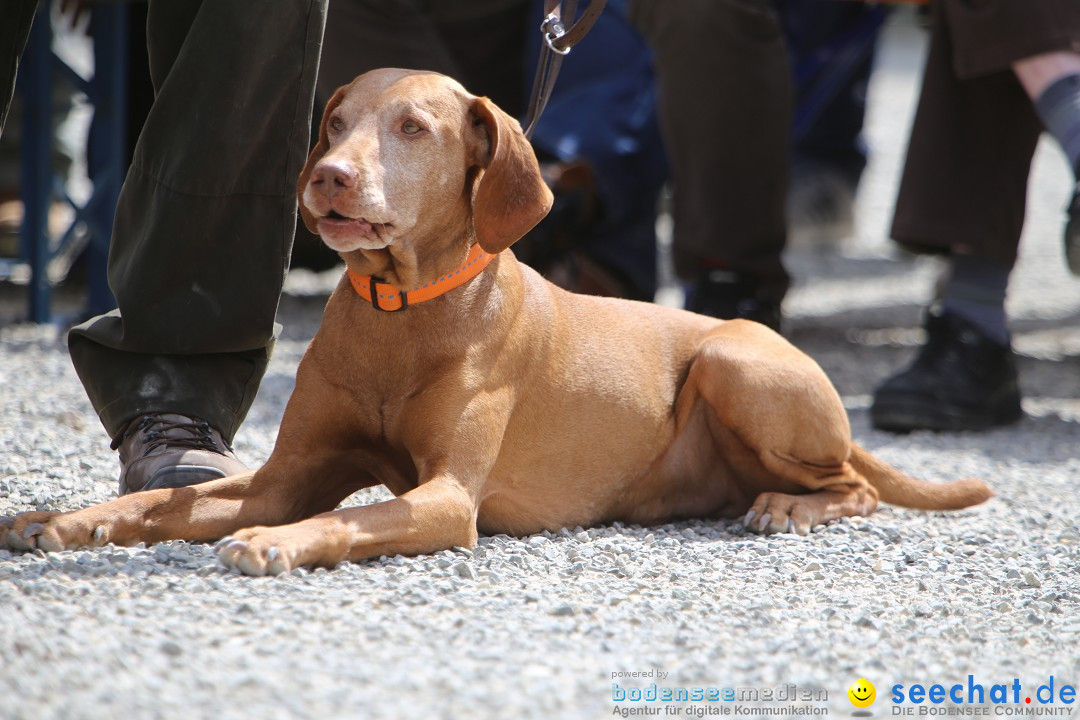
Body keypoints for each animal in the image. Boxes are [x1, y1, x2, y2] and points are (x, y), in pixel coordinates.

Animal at [0, 69, 989, 574]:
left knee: (853, 485)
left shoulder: (445, 499)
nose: (328, 178)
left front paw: (276, 545)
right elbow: (158, 503)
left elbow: (352, 520)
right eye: (335, 121)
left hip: (731, 364)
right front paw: (64, 519)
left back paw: (788, 506)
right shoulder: (287, 475)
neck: (400, 313)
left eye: (412, 128)